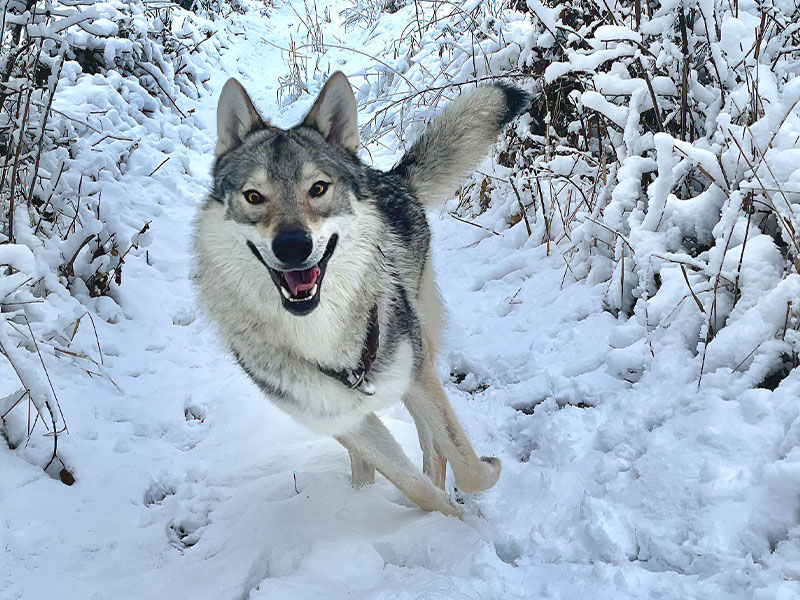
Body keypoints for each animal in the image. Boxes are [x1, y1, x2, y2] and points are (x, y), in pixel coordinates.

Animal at [193, 71, 528, 516]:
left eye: (318, 188)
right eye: (253, 197)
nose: (293, 246)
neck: (320, 332)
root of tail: (389, 177)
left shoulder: (415, 374)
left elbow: (466, 464)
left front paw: (479, 487)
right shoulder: (341, 419)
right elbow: (416, 487)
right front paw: (446, 519)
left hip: (420, 346)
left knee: (432, 442)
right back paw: (362, 493)